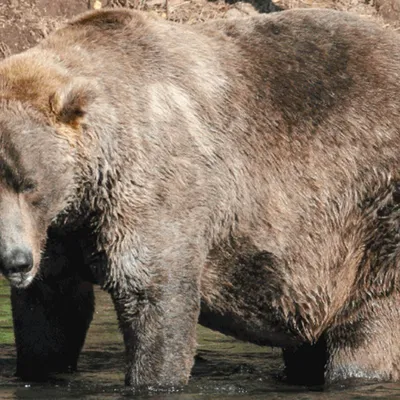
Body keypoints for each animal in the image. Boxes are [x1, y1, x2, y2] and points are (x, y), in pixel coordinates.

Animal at [0, 5, 400, 388]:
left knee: (369, 321)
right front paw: (41, 368)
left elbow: (154, 296)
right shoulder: (60, 232)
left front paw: (152, 377)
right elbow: (51, 313)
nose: (14, 261)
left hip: (370, 212)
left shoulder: (152, 188)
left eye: (30, 183)